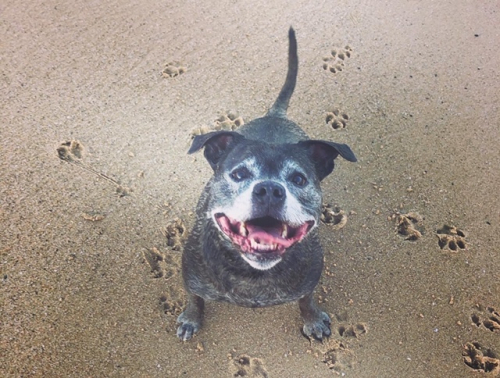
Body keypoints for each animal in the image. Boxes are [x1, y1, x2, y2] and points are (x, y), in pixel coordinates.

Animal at [176, 25, 356, 340]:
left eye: (298, 178)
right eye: (238, 174)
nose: (270, 190)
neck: (253, 273)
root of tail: (275, 115)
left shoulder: (308, 282)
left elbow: (306, 300)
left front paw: (312, 319)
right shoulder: (192, 279)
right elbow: (194, 298)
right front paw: (190, 318)